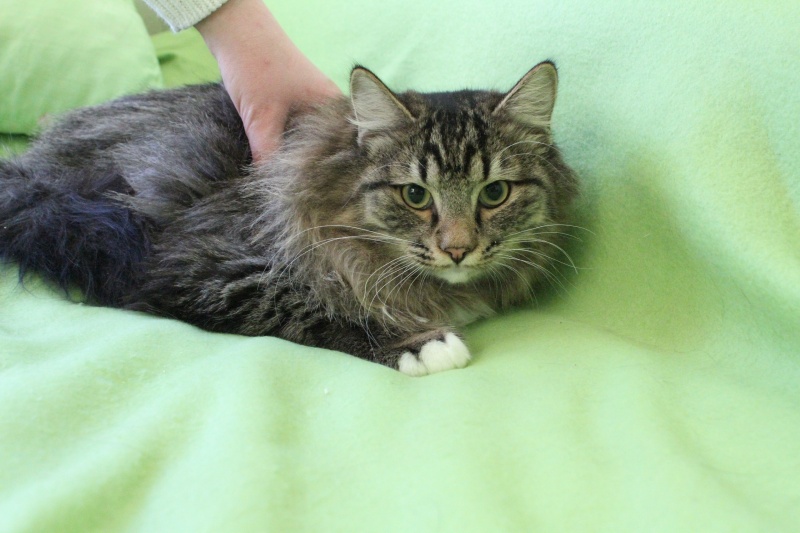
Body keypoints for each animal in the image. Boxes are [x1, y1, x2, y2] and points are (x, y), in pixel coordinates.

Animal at [0, 61, 578, 376]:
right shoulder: (197, 265)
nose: (457, 248)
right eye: (416, 195)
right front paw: (420, 344)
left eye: (495, 193)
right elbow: (313, 304)